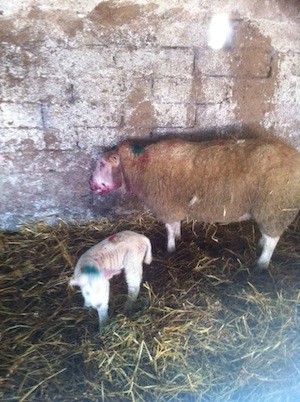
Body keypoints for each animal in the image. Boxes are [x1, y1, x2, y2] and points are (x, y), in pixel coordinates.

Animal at [89, 138, 300, 270]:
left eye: (102, 164)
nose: (90, 185)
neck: (141, 166)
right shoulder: (173, 206)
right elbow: (175, 225)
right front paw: (178, 237)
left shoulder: (166, 204)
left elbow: (169, 229)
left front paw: (170, 249)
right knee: (268, 235)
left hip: (276, 206)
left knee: (273, 239)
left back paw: (262, 264)